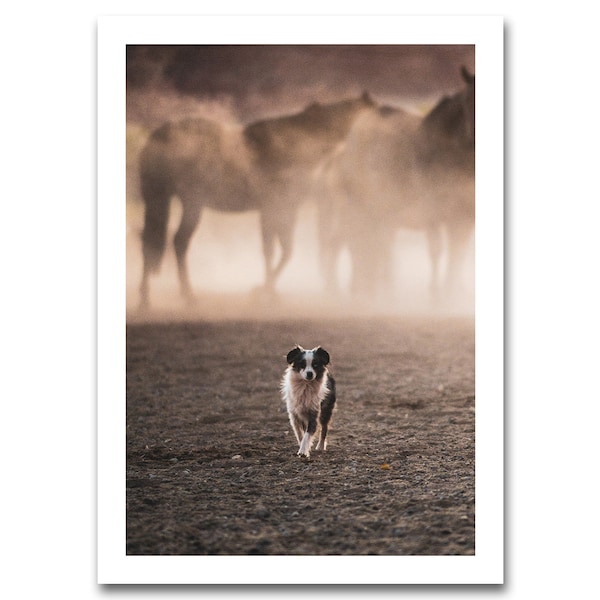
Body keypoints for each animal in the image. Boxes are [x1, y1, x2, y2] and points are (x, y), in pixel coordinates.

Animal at [138, 95, 378, 310]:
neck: (297, 143)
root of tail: (157, 135)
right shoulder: (273, 209)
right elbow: (271, 251)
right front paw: (264, 293)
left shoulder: (286, 210)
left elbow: (284, 251)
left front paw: (267, 292)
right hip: (186, 203)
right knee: (168, 242)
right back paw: (163, 298)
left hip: (175, 203)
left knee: (169, 242)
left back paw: (170, 296)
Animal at [318, 67, 474, 302]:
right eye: (467, 102)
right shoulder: (434, 214)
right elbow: (438, 252)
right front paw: (437, 294)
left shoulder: (463, 218)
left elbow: (458, 256)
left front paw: (452, 294)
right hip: (355, 211)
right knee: (343, 244)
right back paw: (342, 290)